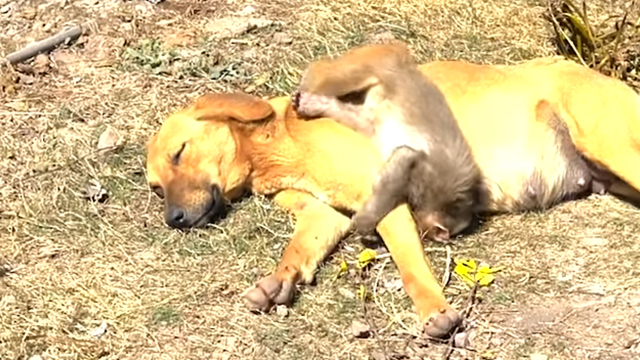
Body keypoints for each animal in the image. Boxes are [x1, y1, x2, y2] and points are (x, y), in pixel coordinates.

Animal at [292, 43, 482, 242]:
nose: (425, 233)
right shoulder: (430, 180)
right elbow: (405, 157)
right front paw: (366, 223)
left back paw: (315, 104)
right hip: (379, 66)